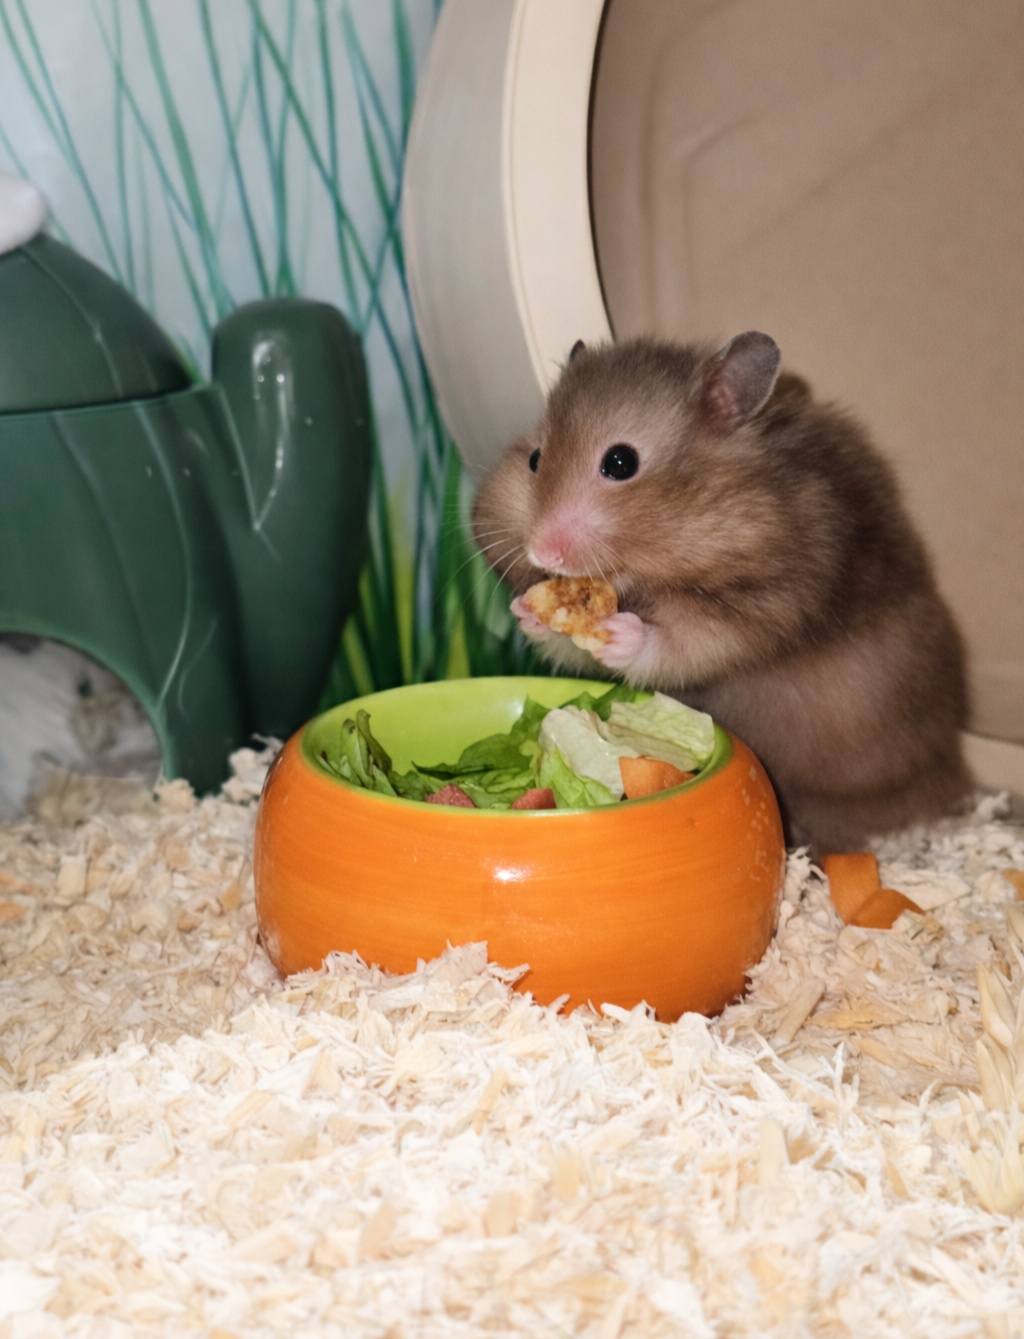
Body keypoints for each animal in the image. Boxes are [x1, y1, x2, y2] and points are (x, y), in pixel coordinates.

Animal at [471, 332, 972, 854]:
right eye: (534, 459)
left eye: (620, 462)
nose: (542, 551)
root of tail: (954, 778)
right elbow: (571, 648)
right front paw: (527, 611)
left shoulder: (766, 604)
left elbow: (685, 643)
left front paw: (623, 632)